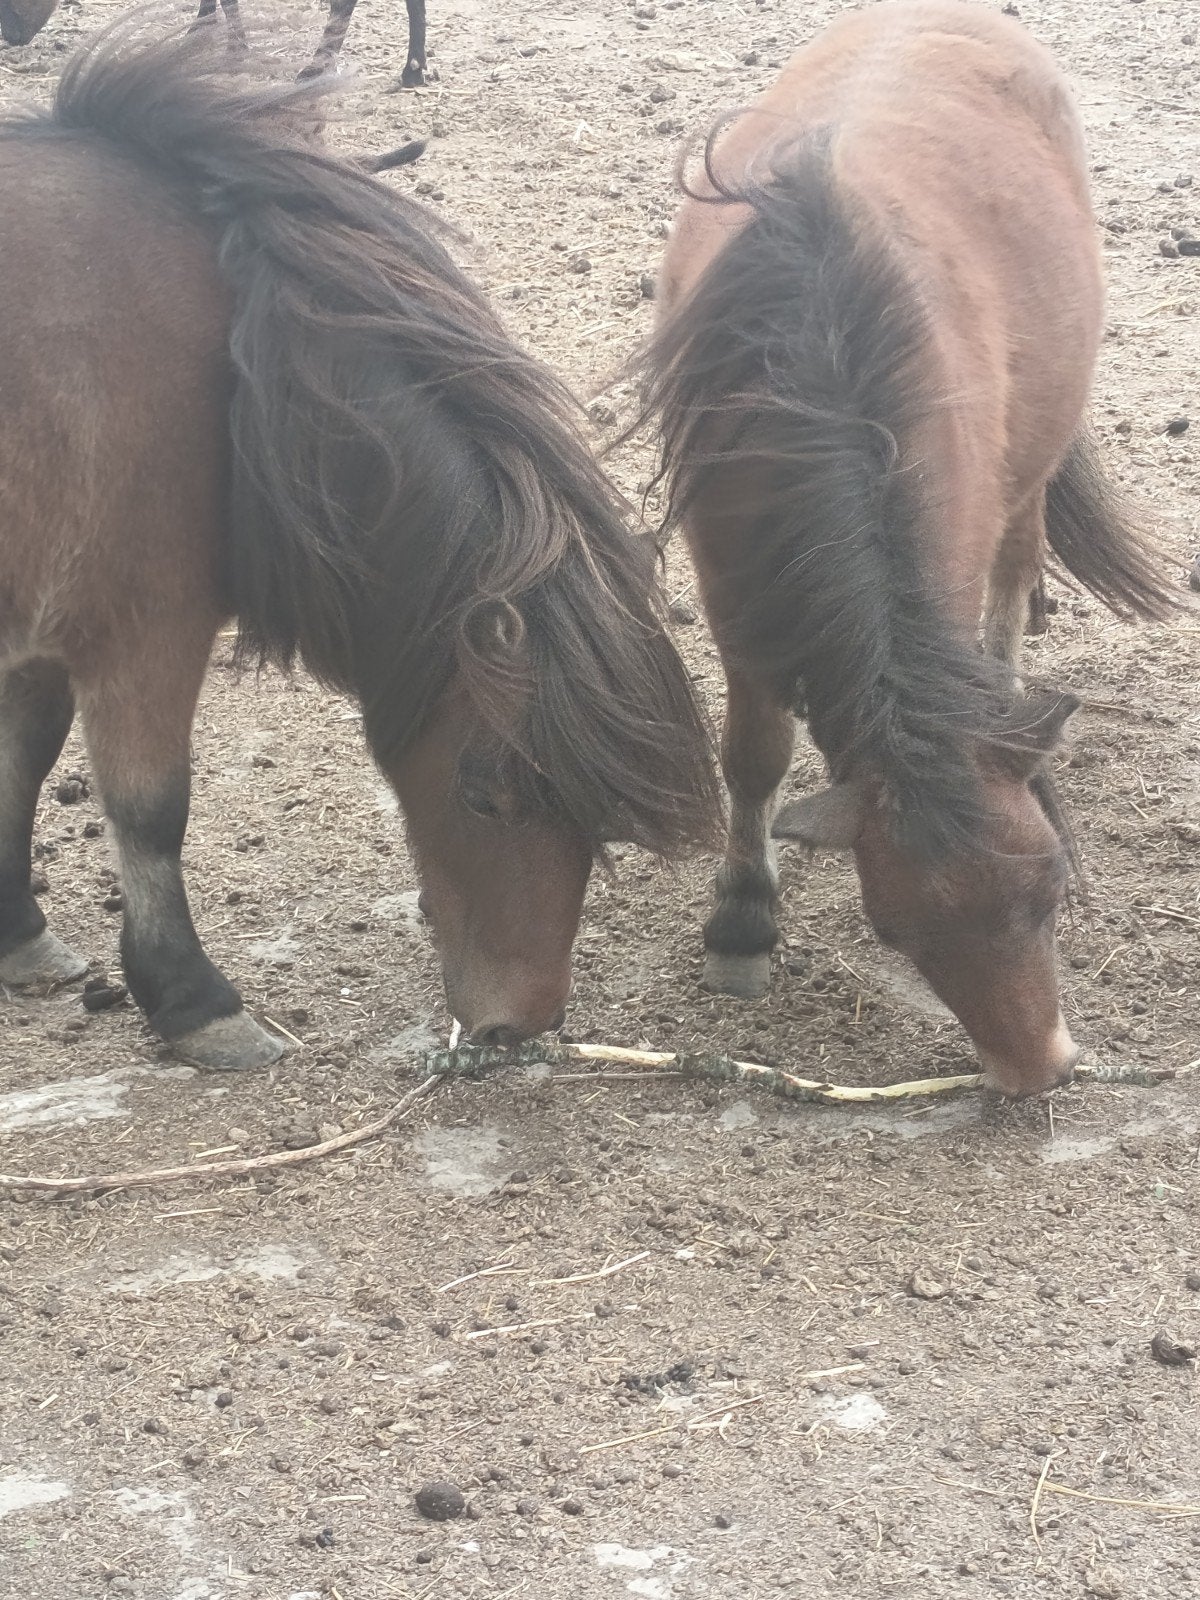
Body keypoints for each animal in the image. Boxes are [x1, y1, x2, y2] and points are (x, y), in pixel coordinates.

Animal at [0, 23, 719, 1071]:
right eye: (487, 794)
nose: (519, 1022)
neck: (233, 374)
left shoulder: (50, 620)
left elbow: (24, 755)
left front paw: (19, 932)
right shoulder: (143, 634)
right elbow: (151, 809)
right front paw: (192, 1001)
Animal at [633, 0, 1176, 1097]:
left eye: (1051, 892)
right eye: (897, 931)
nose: (1036, 1073)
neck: (826, 371)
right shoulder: (737, 599)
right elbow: (753, 757)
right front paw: (742, 920)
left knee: (1016, 571)